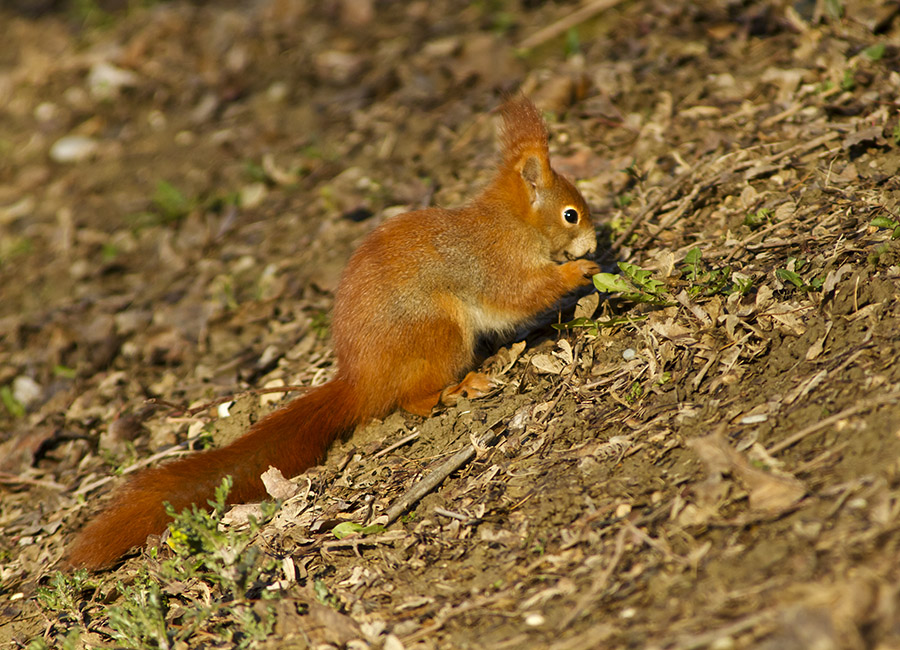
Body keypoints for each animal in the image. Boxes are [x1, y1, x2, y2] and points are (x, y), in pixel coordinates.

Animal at [67, 95, 600, 568]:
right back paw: (458, 389)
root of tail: (362, 381)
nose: (595, 241)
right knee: (412, 400)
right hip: (440, 332)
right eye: (570, 214)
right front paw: (579, 272)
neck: (514, 223)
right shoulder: (495, 266)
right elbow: (522, 295)